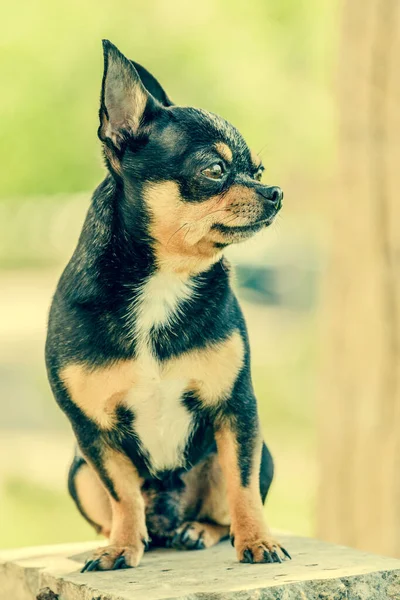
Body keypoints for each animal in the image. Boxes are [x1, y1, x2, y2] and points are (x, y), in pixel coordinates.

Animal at [47, 39, 290, 568]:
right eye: (215, 170)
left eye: (258, 171)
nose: (275, 191)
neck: (164, 281)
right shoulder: (93, 433)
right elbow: (121, 492)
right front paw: (121, 547)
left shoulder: (236, 410)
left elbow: (243, 486)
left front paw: (258, 542)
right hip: (77, 472)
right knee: (125, 506)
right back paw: (122, 537)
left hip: (252, 451)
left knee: (222, 505)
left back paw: (198, 530)